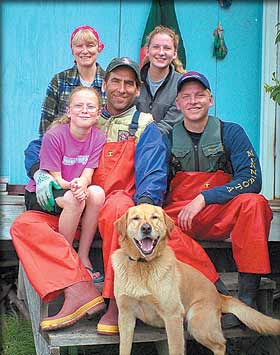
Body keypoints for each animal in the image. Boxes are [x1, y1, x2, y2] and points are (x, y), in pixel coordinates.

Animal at [111, 203, 280, 355]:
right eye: (135, 218)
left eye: (155, 217)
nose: (146, 228)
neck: (143, 265)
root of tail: (219, 296)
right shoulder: (125, 316)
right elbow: (124, 349)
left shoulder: (172, 316)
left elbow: (175, 350)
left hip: (197, 324)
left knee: (220, 345)